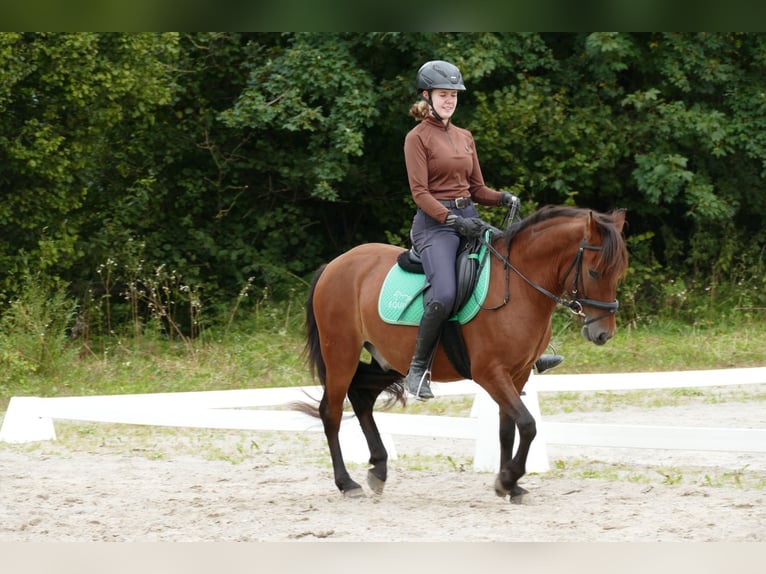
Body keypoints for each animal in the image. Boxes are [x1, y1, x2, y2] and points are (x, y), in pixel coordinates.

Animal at [296, 205, 628, 502]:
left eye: (619, 273)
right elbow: (527, 424)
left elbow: (508, 429)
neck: (518, 287)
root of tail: (334, 265)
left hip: (387, 359)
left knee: (362, 396)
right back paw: (347, 483)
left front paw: (509, 485)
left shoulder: (517, 374)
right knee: (332, 412)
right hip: (341, 354)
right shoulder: (490, 373)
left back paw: (378, 469)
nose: (603, 333)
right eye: (594, 272)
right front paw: (509, 479)